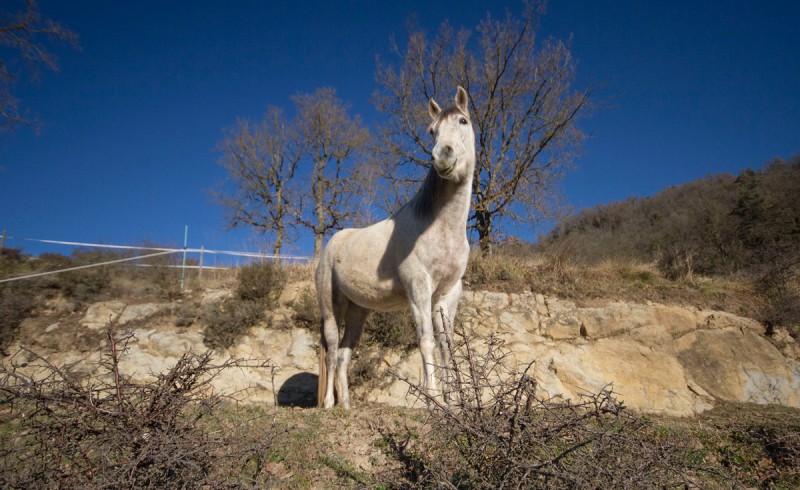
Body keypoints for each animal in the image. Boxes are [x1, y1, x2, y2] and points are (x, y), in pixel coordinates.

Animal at [315, 86, 476, 409]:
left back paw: (346, 407)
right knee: (331, 349)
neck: (439, 226)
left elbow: (446, 346)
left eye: (463, 121)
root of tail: (332, 245)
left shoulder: (448, 294)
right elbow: (426, 340)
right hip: (331, 307)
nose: (442, 156)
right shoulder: (418, 288)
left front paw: (455, 403)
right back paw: (328, 404)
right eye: (432, 130)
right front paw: (434, 401)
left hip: (358, 312)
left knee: (343, 355)